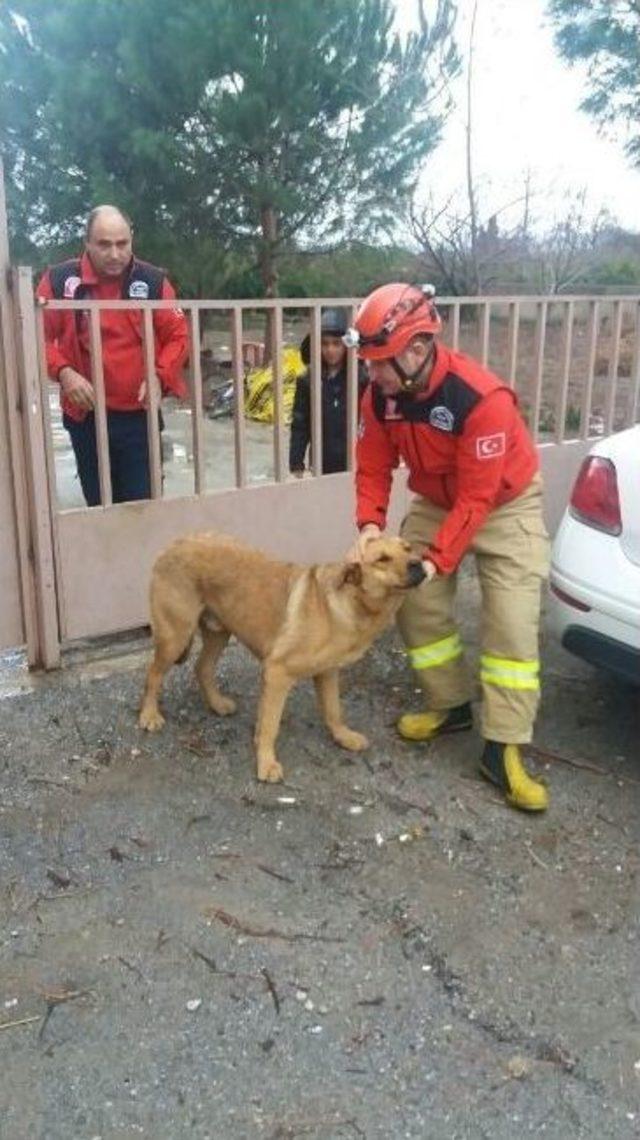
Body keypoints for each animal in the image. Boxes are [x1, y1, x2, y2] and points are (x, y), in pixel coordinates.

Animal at [138, 528, 424, 779]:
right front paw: (266, 763)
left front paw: (343, 736)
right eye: (382, 559)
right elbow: (270, 725)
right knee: (153, 675)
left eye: (408, 548)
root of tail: (172, 545)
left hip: (219, 632)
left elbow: (333, 710)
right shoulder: (277, 673)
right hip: (175, 636)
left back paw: (217, 703)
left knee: (202, 667)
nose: (419, 564)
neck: (349, 603)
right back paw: (149, 715)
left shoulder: (327, 673)